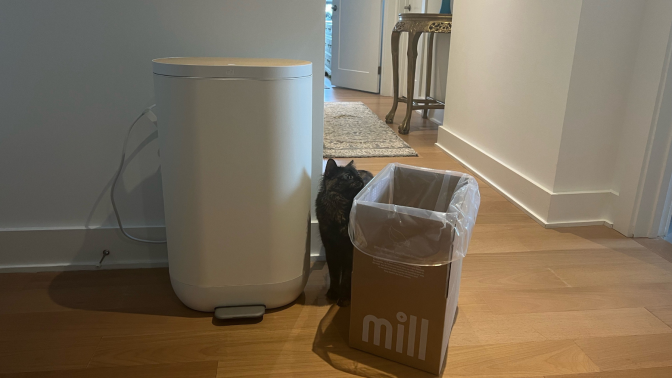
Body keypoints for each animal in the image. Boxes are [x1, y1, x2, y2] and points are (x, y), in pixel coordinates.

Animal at [316, 158, 372, 306]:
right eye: (348, 176)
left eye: (356, 175)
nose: (359, 179)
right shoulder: (330, 248)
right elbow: (334, 274)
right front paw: (333, 292)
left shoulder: (349, 251)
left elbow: (346, 277)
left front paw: (344, 297)